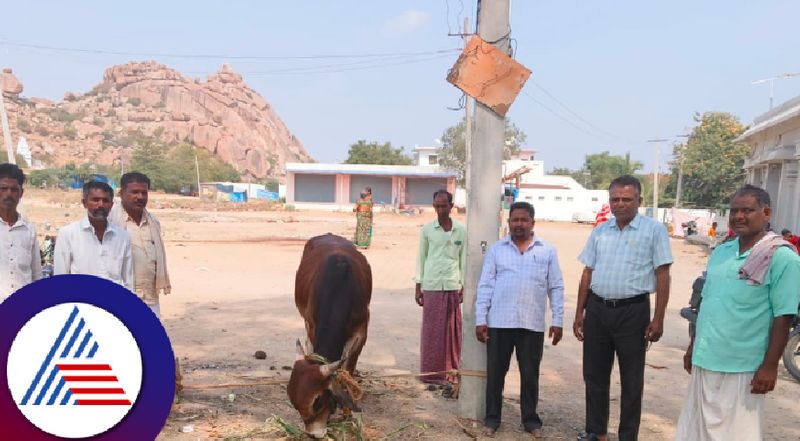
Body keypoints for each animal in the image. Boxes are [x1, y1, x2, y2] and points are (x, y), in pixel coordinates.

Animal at [290, 234, 374, 436]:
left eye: (317, 401)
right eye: (294, 404)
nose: (313, 435)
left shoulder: (362, 331)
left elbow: (348, 370)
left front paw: (347, 413)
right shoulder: (312, 324)